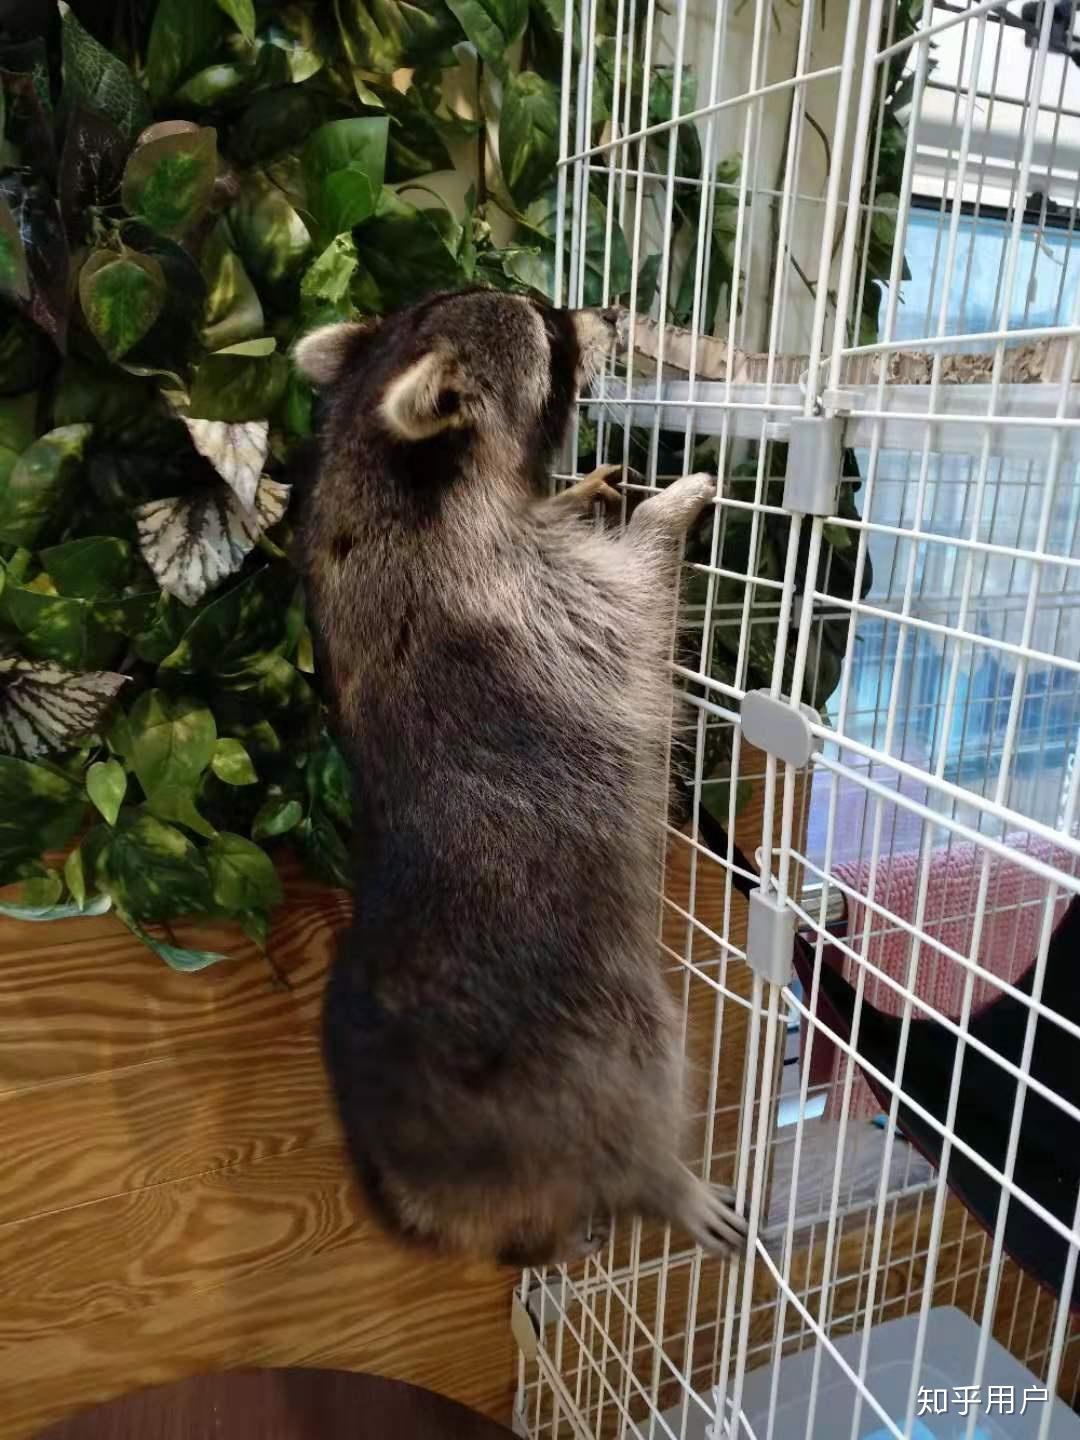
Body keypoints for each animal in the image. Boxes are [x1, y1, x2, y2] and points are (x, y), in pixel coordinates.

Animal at [296, 286, 754, 1267]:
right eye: (548, 327)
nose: (612, 311)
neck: (378, 466)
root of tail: (416, 1173)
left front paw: (578, 490)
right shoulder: (531, 603)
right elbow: (637, 594)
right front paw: (667, 511)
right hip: (587, 1046)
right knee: (636, 1098)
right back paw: (663, 1181)